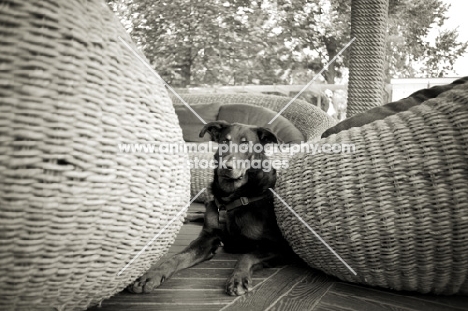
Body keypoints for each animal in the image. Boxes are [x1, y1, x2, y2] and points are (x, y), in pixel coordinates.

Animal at [128, 121, 294, 298]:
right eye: (224, 141)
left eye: (246, 144)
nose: (226, 167)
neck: (233, 197)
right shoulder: (207, 238)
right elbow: (178, 257)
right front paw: (151, 275)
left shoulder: (280, 247)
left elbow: (247, 256)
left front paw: (238, 278)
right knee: (204, 211)